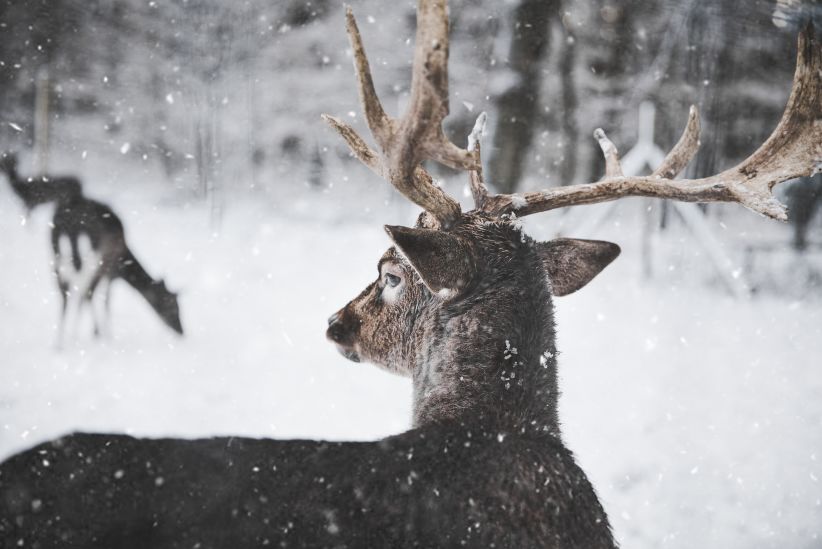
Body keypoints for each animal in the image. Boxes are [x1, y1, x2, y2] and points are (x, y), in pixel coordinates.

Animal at [0, 153, 183, 342]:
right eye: (173, 305)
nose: (181, 331)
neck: (125, 261)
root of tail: (67, 222)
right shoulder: (110, 269)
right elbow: (104, 299)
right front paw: (103, 334)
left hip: (57, 250)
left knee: (64, 290)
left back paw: (60, 341)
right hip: (89, 255)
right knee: (81, 289)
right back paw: (75, 336)